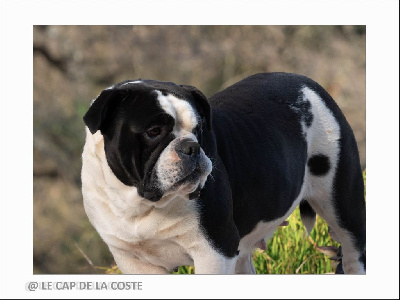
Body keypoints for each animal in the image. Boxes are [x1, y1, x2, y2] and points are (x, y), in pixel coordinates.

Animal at [81, 72, 366, 274]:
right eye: (153, 131)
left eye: (199, 129)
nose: (191, 146)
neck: (142, 204)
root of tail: (308, 84)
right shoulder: (135, 262)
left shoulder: (213, 253)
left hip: (344, 210)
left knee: (353, 252)